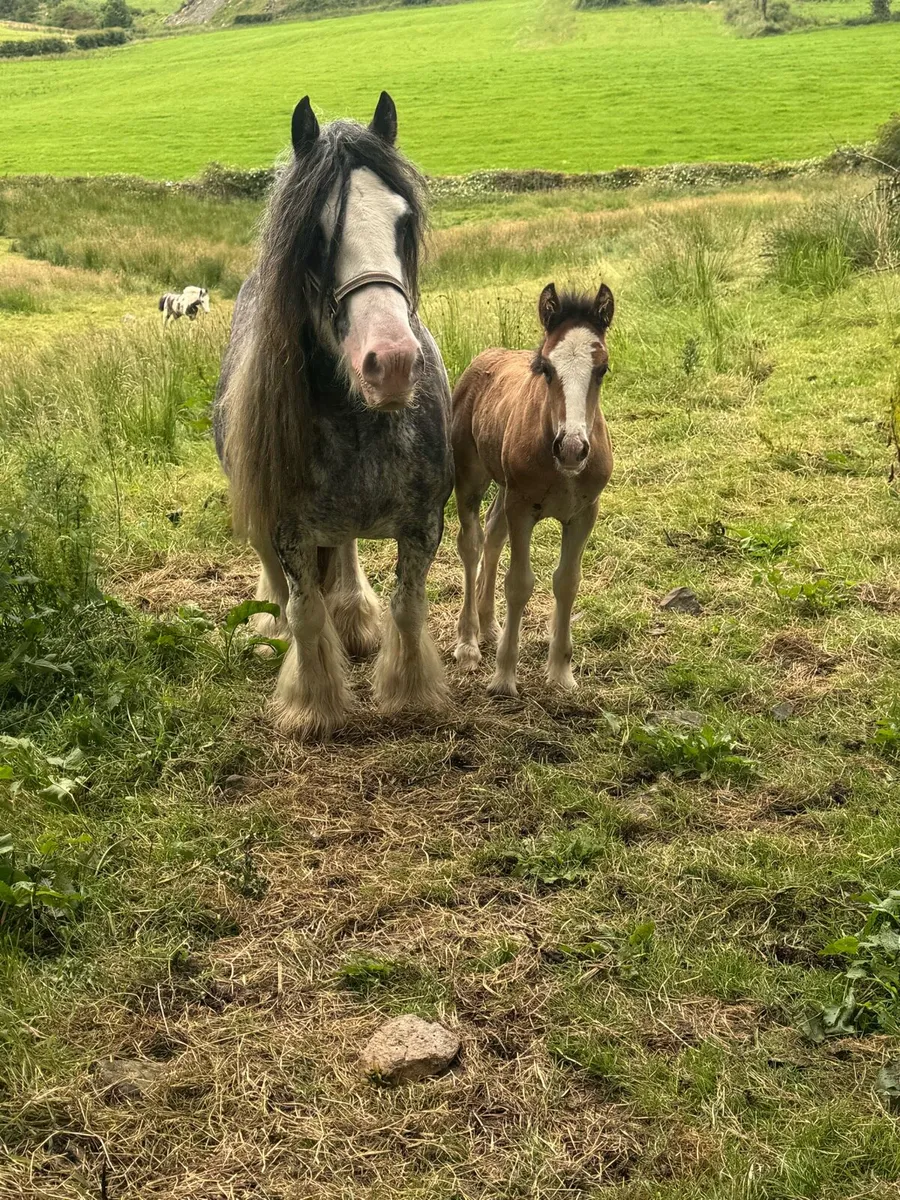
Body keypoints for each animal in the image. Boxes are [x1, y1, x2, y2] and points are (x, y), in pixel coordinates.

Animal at [213, 93, 453, 739]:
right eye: (316, 236)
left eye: (402, 222)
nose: (392, 364)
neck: (362, 425)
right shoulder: (286, 528)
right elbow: (303, 612)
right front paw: (313, 702)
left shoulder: (424, 524)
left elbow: (407, 605)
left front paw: (409, 691)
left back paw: (354, 619)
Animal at [451, 282, 615, 697]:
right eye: (546, 368)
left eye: (602, 369)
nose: (572, 448)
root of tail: (486, 355)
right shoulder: (523, 507)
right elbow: (519, 584)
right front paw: (504, 677)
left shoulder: (584, 513)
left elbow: (567, 582)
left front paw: (560, 672)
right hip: (471, 478)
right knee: (472, 544)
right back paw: (469, 643)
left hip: (504, 489)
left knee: (493, 533)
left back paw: (490, 626)